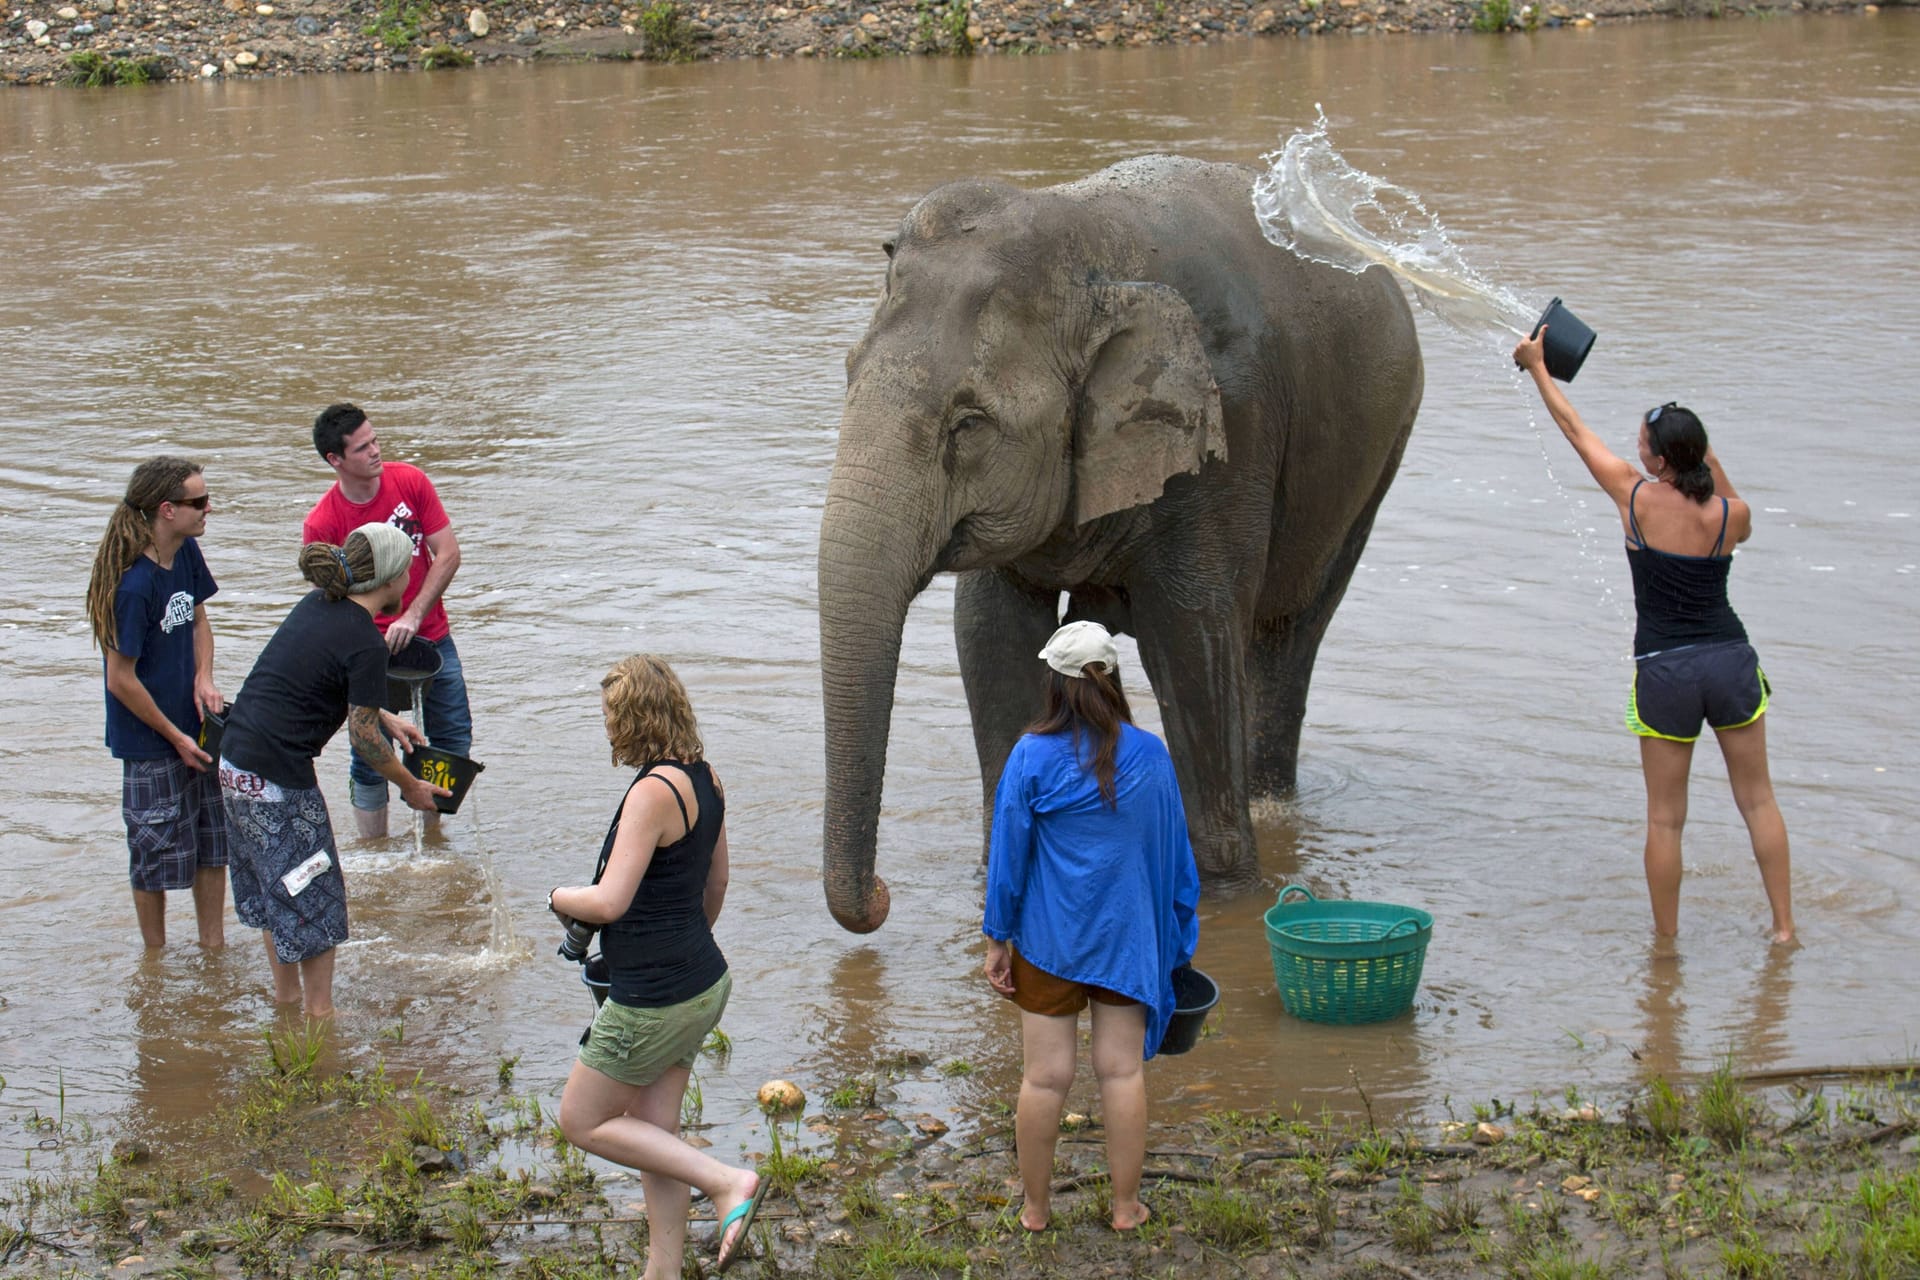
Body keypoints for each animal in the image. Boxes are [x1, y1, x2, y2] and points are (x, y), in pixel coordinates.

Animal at [817, 155, 1420, 936]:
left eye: (968, 423)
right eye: (847, 373)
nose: (884, 896)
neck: (1085, 246)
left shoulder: (1225, 436)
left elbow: (1191, 637)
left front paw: (1226, 897)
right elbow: (989, 634)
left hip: (1374, 461)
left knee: (1287, 635)